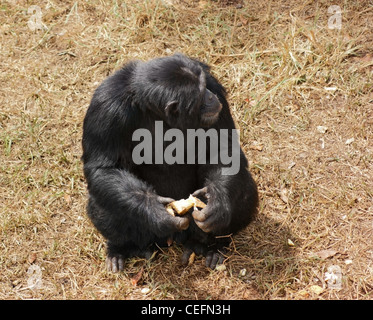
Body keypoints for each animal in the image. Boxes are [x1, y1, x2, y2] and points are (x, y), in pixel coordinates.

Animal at [81, 53, 258, 272]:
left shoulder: (214, 84)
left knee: (245, 188)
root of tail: (177, 238)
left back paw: (212, 246)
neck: (155, 111)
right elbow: (104, 167)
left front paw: (217, 202)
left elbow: (223, 150)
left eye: (205, 85)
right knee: (102, 201)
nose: (210, 96)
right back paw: (122, 248)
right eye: (200, 94)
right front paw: (155, 211)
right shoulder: (105, 106)